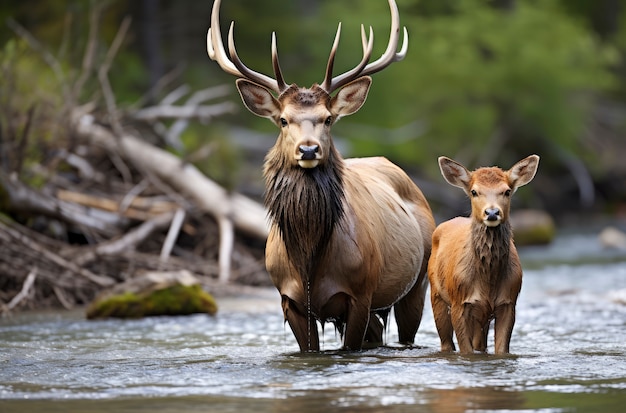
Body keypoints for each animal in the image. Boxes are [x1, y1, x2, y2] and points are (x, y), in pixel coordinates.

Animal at [207, 0, 432, 350]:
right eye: (283, 120)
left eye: (328, 119)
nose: (309, 150)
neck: (309, 265)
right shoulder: (290, 300)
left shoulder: (361, 295)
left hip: (417, 283)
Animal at [426, 154, 540, 354]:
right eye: (474, 191)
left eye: (507, 191)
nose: (492, 212)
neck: (488, 280)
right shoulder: (459, 302)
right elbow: (466, 350)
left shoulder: (508, 303)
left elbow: (500, 350)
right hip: (436, 294)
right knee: (446, 343)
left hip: (482, 316)